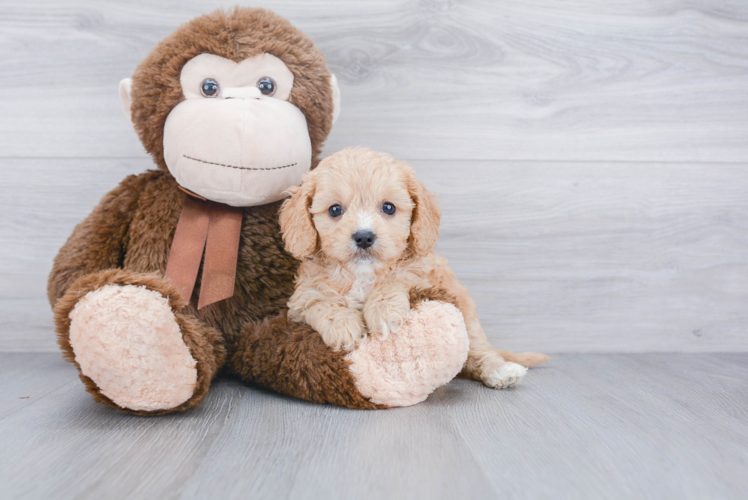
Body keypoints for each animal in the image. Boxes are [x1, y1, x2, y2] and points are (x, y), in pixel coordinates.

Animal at [278, 146, 548, 388]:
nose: (364, 237)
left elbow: (397, 279)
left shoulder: (426, 275)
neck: (362, 275)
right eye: (335, 210)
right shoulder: (301, 301)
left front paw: (383, 312)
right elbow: (320, 303)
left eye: (388, 207)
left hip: (466, 313)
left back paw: (501, 371)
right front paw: (343, 327)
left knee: (479, 350)